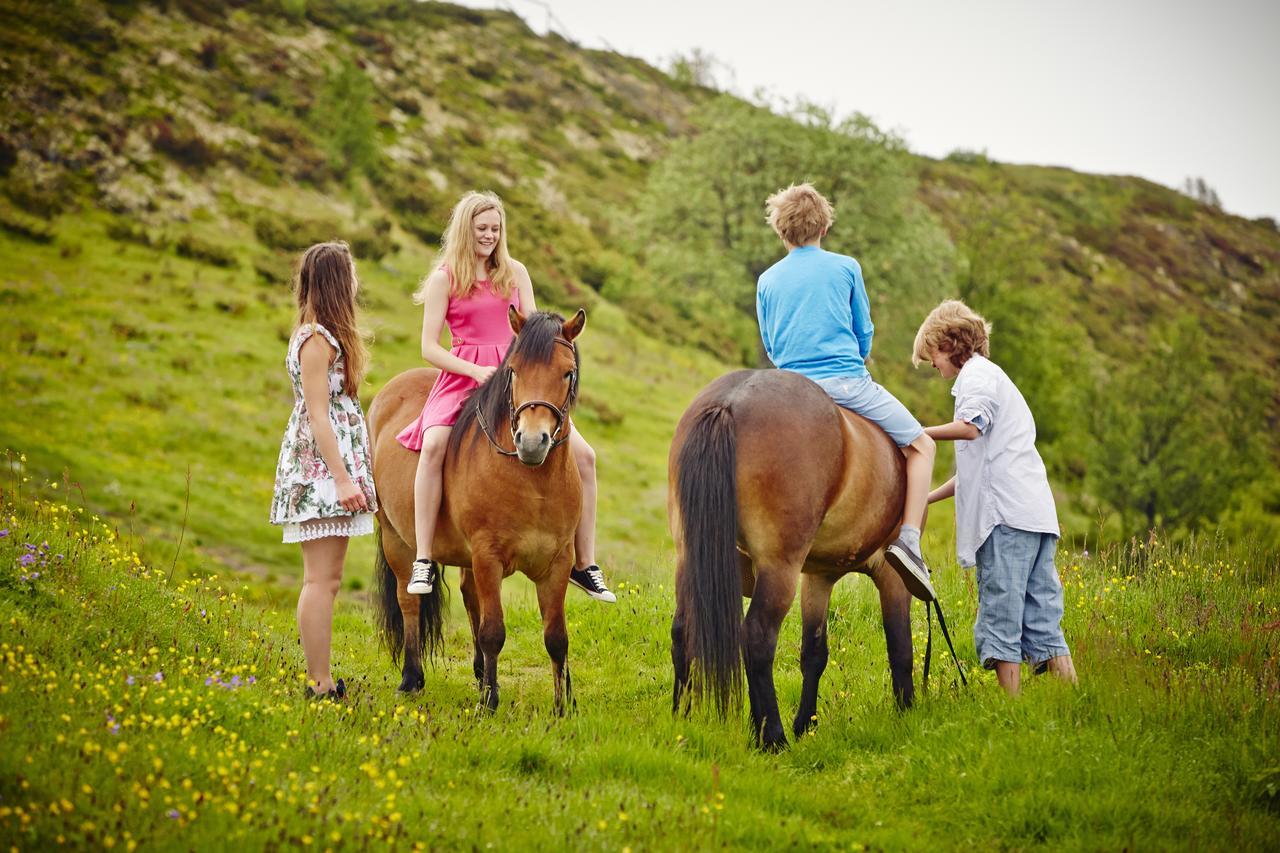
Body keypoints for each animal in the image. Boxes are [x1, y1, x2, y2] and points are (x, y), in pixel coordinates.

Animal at [366, 306, 586, 712]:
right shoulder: (488, 557)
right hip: (396, 539)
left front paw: (564, 706)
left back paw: (480, 672)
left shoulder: (557, 563)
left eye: (567, 372)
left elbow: (556, 637)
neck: (533, 484)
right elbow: (493, 630)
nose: (532, 442)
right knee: (409, 600)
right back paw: (411, 678)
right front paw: (490, 702)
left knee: (470, 597)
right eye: (513, 370)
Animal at [670, 368, 921, 747]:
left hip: (690, 560)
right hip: (778, 570)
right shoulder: (891, 575)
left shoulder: (818, 577)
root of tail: (731, 401)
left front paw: (806, 723)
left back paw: (681, 718)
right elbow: (900, 646)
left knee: (682, 630)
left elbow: (814, 653)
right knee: (756, 638)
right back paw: (773, 738)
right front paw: (906, 712)